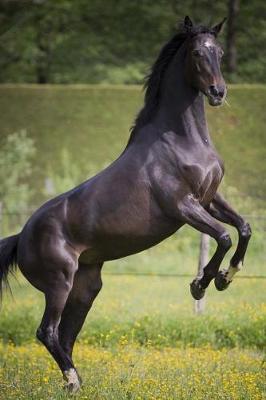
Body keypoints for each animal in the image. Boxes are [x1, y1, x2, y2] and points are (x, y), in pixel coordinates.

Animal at [0, 17, 251, 392]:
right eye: (196, 53)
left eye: (218, 52)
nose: (218, 92)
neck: (181, 140)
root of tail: (21, 237)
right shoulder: (182, 206)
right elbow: (223, 236)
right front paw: (200, 285)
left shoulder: (210, 199)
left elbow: (243, 229)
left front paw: (226, 277)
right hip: (59, 283)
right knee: (47, 332)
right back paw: (73, 381)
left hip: (85, 288)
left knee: (66, 336)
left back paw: (75, 385)